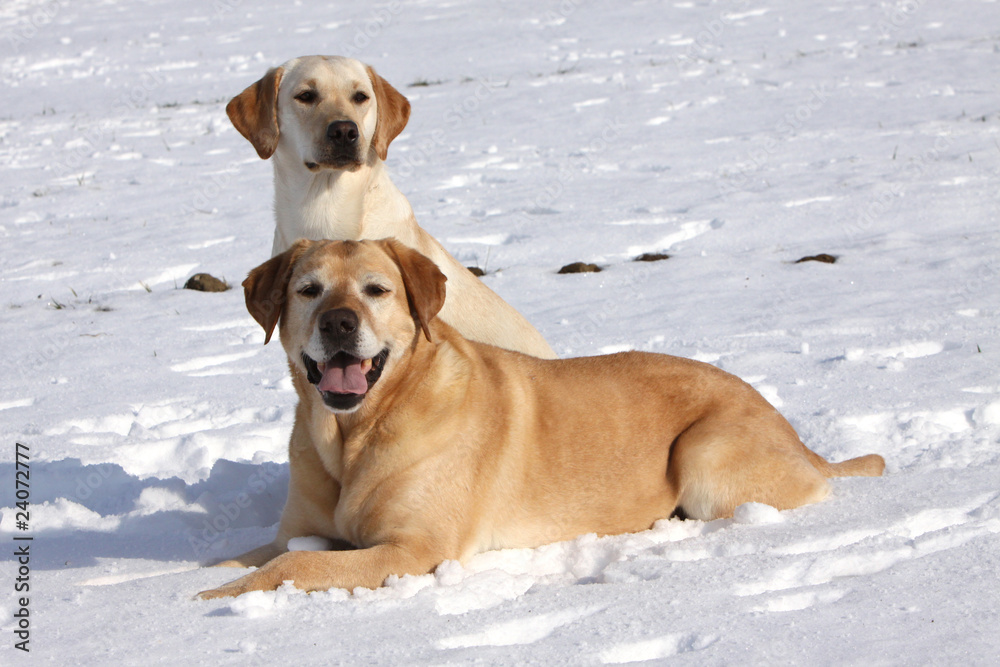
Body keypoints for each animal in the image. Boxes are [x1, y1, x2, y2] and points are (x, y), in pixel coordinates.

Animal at [195, 240, 884, 600]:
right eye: (308, 290)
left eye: (376, 289)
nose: (339, 323)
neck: (353, 436)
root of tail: (800, 438)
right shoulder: (295, 531)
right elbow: (251, 557)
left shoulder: (414, 548)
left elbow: (295, 567)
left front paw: (203, 603)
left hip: (704, 455)